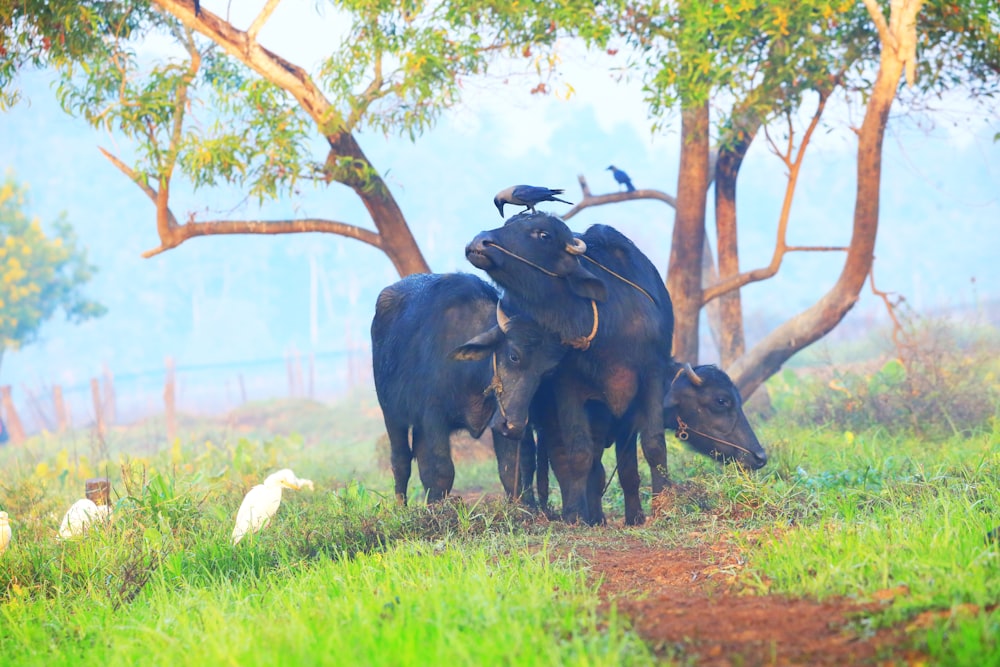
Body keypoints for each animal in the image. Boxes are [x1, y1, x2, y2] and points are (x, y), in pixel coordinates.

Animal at [372, 272, 568, 506]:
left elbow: (511, 468)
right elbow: (442, 470)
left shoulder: (499, 419)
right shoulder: (432, 417)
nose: (514, 426)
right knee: (401, 460)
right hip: (391, 413)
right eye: (514, 356)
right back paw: (402, 506)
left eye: (547, 372)